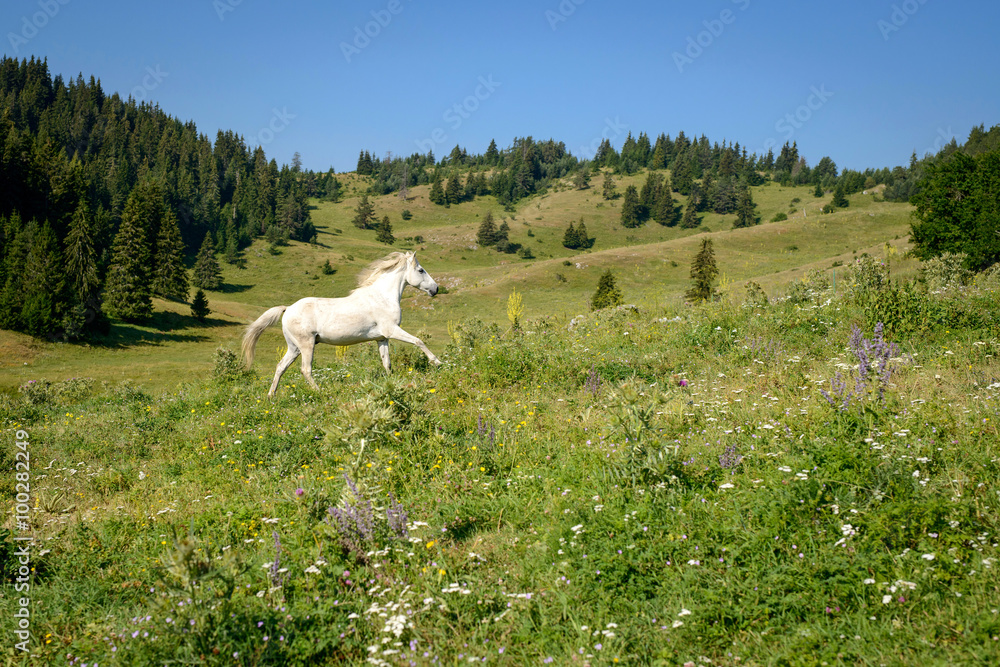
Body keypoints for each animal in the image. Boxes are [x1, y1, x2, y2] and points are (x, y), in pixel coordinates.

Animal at [241, 250, 441, 396]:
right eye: (421, 270)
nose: (436, 289)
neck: (382, 297)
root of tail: (288, 308)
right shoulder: (392, 330)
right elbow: (418, 341)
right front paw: (437, 362)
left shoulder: (382, 338)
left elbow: (387, 363)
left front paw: (391, 382)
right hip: (306, 344)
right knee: (306, 369)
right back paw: (320, 392)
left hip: (294, 347)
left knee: (281, 367)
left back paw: (271, 396)